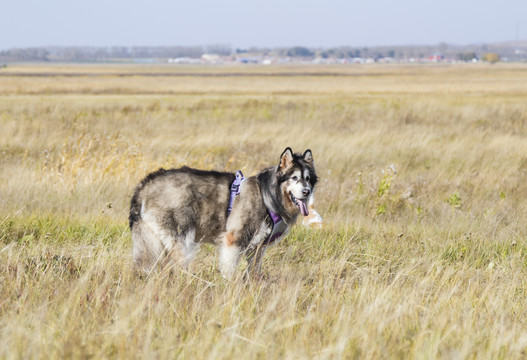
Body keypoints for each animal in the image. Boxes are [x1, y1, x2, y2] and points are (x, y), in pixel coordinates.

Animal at [129, 146, 318, 278]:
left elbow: (254, 273)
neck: (268, 197)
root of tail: (145, 183)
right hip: (181, 239)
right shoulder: (234, 240)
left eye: (308, 179)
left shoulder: (258, 248)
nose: (306, 192)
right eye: (294, 178)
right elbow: (230, 270)